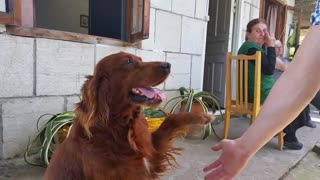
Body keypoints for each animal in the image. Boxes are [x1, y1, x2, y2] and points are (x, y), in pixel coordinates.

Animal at [43, 51, 211, 179]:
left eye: (141, 59)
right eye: (129, 62)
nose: (167, 65)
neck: (122, 125)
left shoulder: (151, 154)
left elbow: (170, 120)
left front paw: (202, 117)